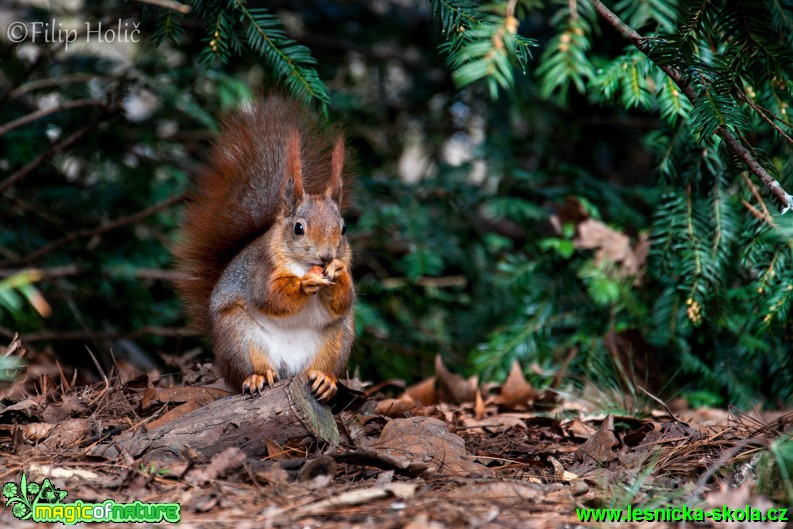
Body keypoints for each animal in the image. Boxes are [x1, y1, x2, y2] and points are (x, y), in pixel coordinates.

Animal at [177, 96, 358, 400]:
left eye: (343, 228)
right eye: (298, 228)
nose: (326, 256)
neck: (303, 264)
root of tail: (289, 369)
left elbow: (346, 299)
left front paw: (337, 273)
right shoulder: (260, 270)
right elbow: (270, 296)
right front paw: (305, 283)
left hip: (338, 337)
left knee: (324, 363)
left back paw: (324, 379)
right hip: (238, 335)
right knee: (248, 369)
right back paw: (257, 377)